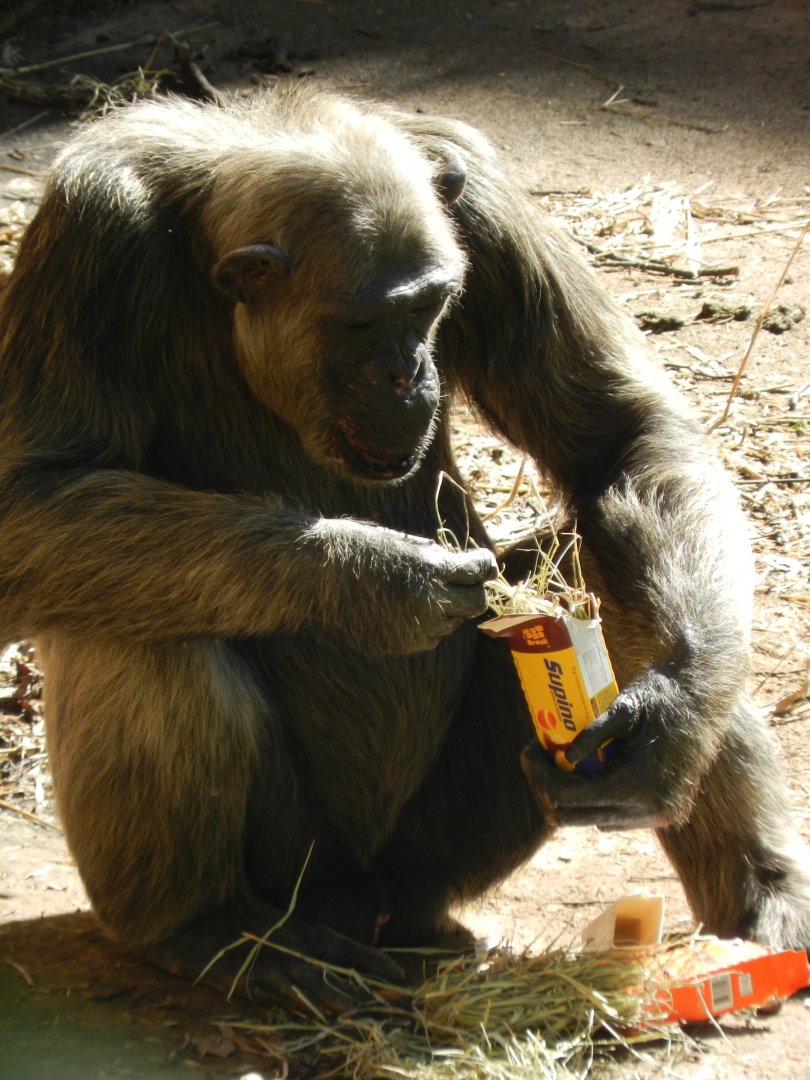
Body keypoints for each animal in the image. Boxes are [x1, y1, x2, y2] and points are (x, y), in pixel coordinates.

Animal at [0, 86, 807, 1011]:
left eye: (427, 306)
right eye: (362, 323)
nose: (407, 371)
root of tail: (368, 901)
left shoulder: (481, 198)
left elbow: (619, 434)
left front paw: (668, 722)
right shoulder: (90, 234)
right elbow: (29, 500)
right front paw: (375, 580)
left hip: (444, 851)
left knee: (612, 566)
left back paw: (758, 897)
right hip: (303, 869)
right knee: (136, 621)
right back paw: (209, 927)